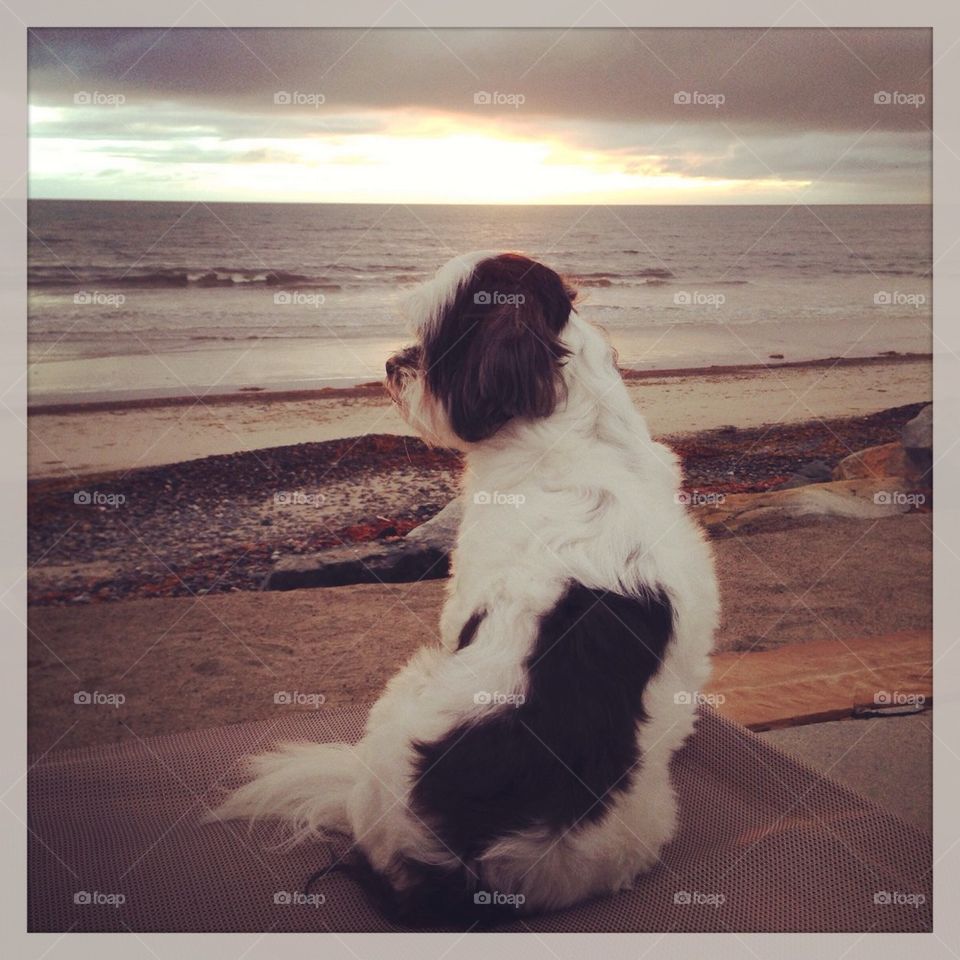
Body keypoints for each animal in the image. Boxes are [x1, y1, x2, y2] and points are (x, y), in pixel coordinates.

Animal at [212, 251, 720, 928]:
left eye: (436, 342)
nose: (392, 363)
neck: (580, 438)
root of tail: (461, 870)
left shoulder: (459, 604)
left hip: (404, 694)